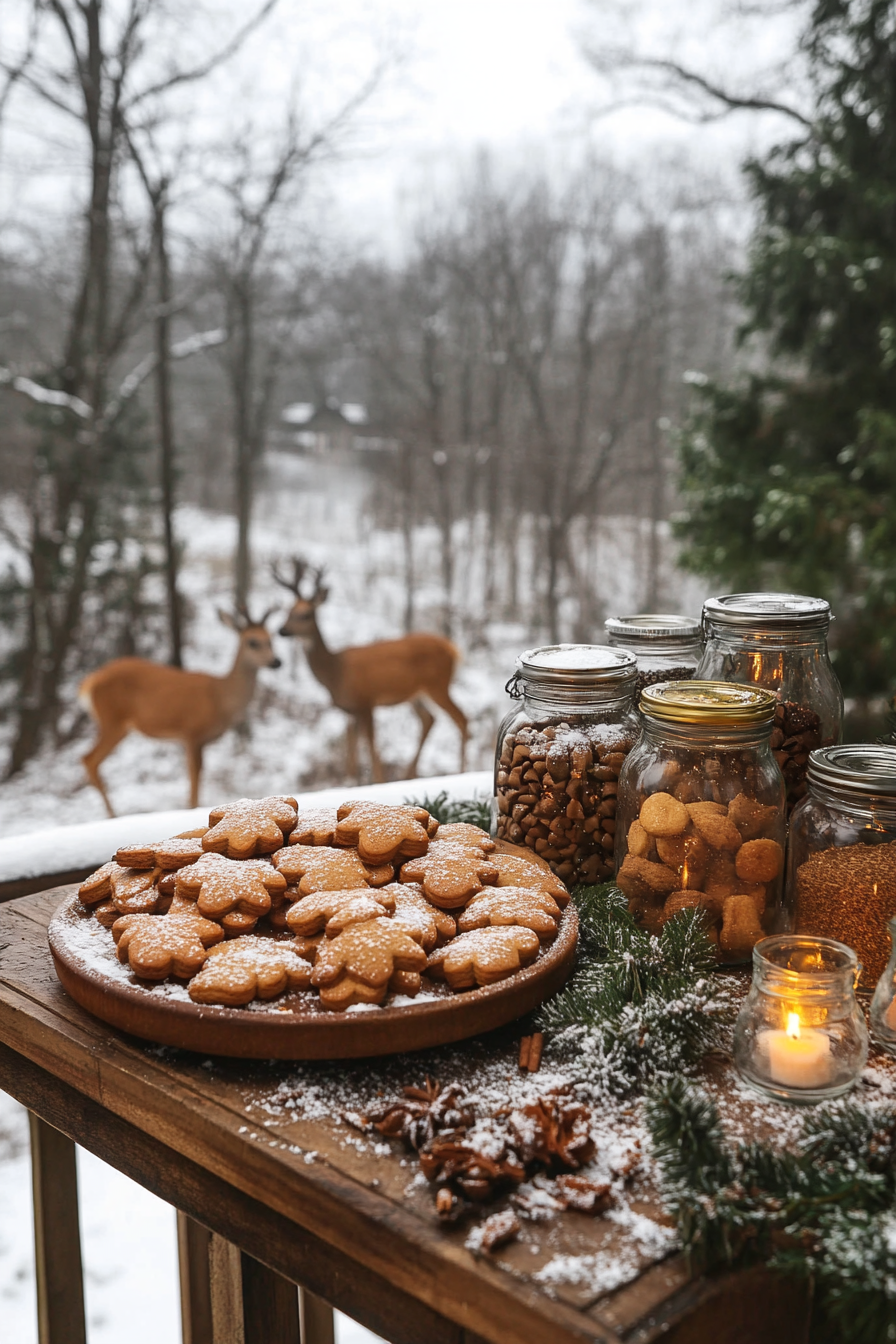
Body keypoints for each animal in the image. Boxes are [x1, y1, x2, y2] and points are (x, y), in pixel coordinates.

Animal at [78, 604, 280, 811]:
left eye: (270, 639)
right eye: (252, 642)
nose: (276, 661)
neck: (220, 697)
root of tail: (91, 681)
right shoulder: (192, 733)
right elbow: (194, 774)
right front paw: (193, 806)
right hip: (111, 720)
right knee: (89, 759)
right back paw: (113, 814)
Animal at [271, 559, 470, 784]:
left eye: (305, 615)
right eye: (288, 610)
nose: (282, 630)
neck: (335, 672)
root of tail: (452, 648)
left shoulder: (366, 701)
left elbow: (371, 744)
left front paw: (378, 780)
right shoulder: (351, 709)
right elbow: (352, 746)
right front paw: (350, 782)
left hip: (438, 684)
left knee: (461, 718)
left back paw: (461, 771)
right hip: (416, 695)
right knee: (429, 719)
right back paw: (408, 775)